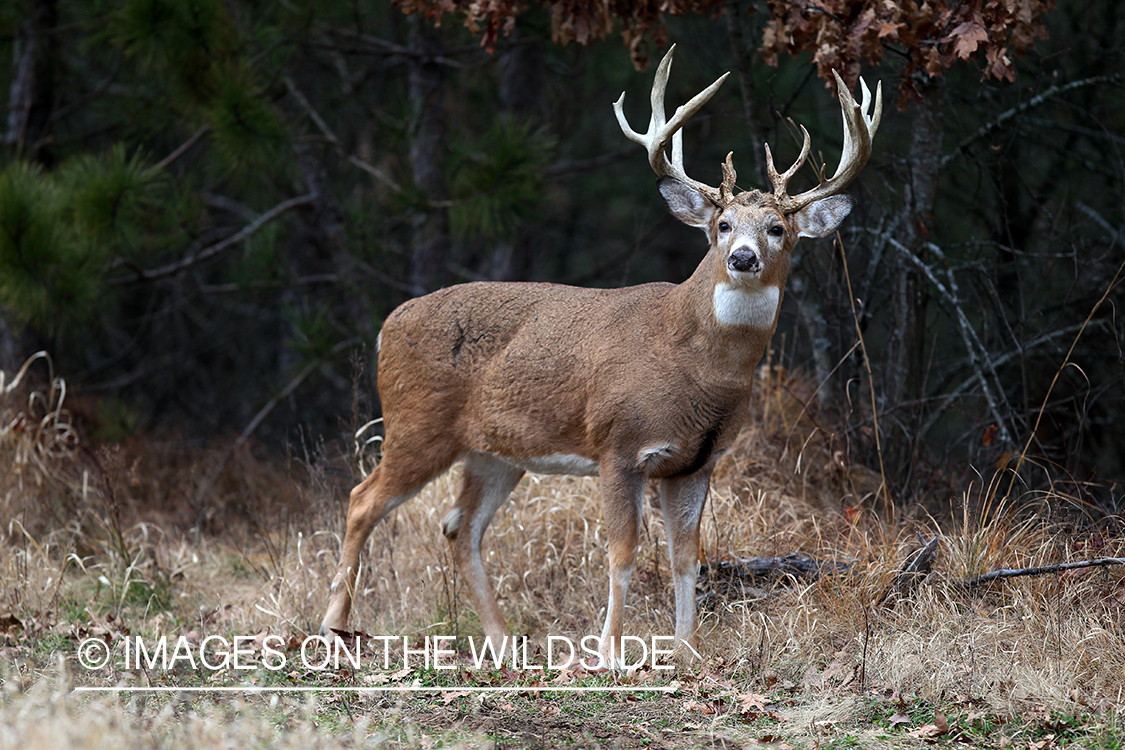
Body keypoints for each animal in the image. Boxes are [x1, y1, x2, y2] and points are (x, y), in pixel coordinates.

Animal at [321, 46, 882, 670]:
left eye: (778, 228)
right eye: (722, 224)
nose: (741, 257)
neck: (695, 366)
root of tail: (388, 325)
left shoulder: (697, 461)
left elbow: (687, 557)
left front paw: (687, 652)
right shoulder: (619, 444)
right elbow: (623, 553)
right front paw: (609, 655)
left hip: (493, 451)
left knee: (459, 528)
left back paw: (503, 642)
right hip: (416, 423)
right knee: (362, 501)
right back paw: (333, 629)